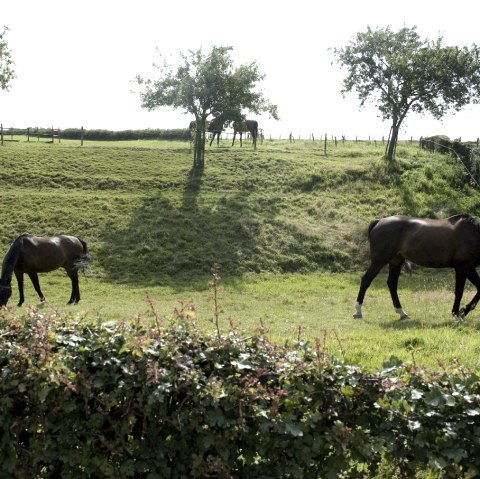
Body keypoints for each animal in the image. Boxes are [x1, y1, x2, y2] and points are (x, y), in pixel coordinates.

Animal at [352, 215, 480, 320]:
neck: (473, 234)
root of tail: (378, 221)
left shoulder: (470, 268)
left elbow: (479, 288)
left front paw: (464, 311)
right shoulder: (462, 267)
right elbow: (459, 291)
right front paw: (457, 314)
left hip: (396, 261)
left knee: (392, 284)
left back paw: (401, 312)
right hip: (379, 261)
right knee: (366, 280)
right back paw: (358, 312)